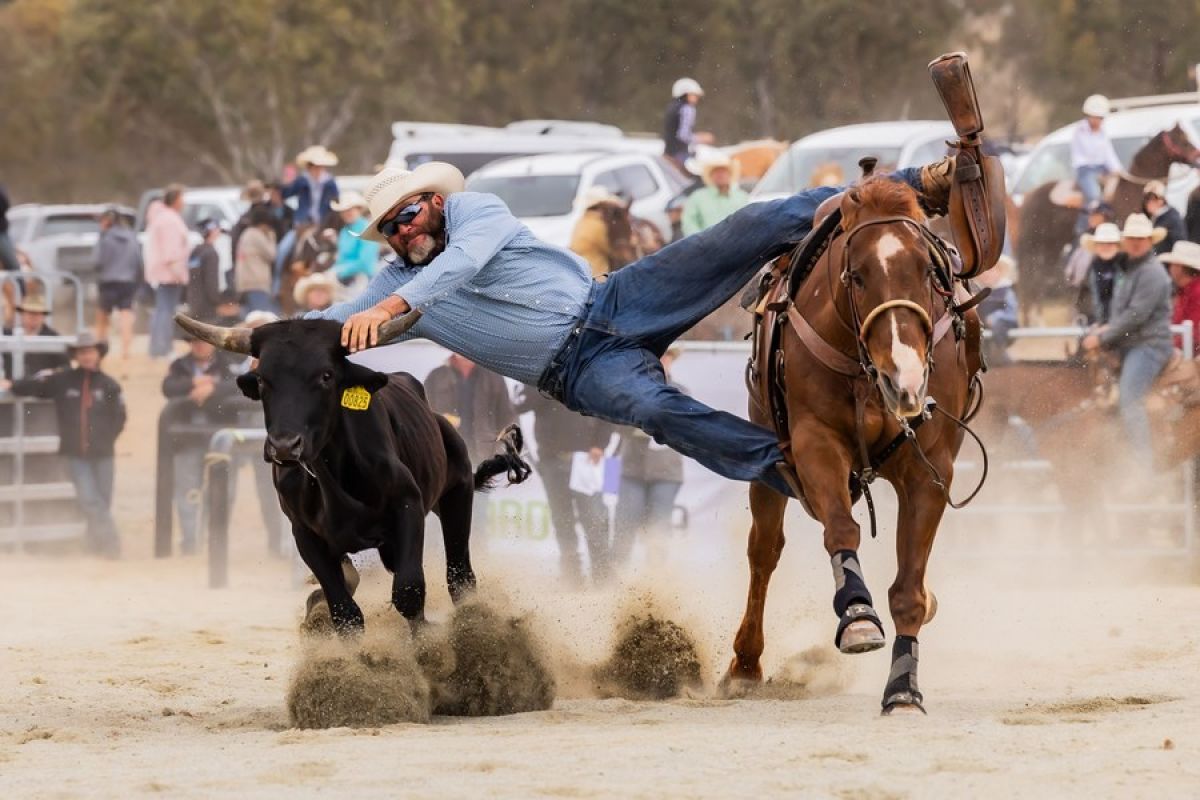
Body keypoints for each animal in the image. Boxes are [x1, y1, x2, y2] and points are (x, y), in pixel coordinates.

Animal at [724, 175, 979, 714]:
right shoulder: (814, 443)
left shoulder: (930, 468)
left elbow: (909, 588)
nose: (904, 377)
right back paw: (745, 664)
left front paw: (903, 687)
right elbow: (841, 529)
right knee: (764, 552)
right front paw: (859, 616)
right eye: (857, 276)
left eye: (927, 271)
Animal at [1012, 125, 1200, 321]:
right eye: (1182, 140)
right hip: (1036, 247)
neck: (1133, 191)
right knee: (1030, 282)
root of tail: (1028, 197)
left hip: (1050, 249)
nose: (1197, 156)